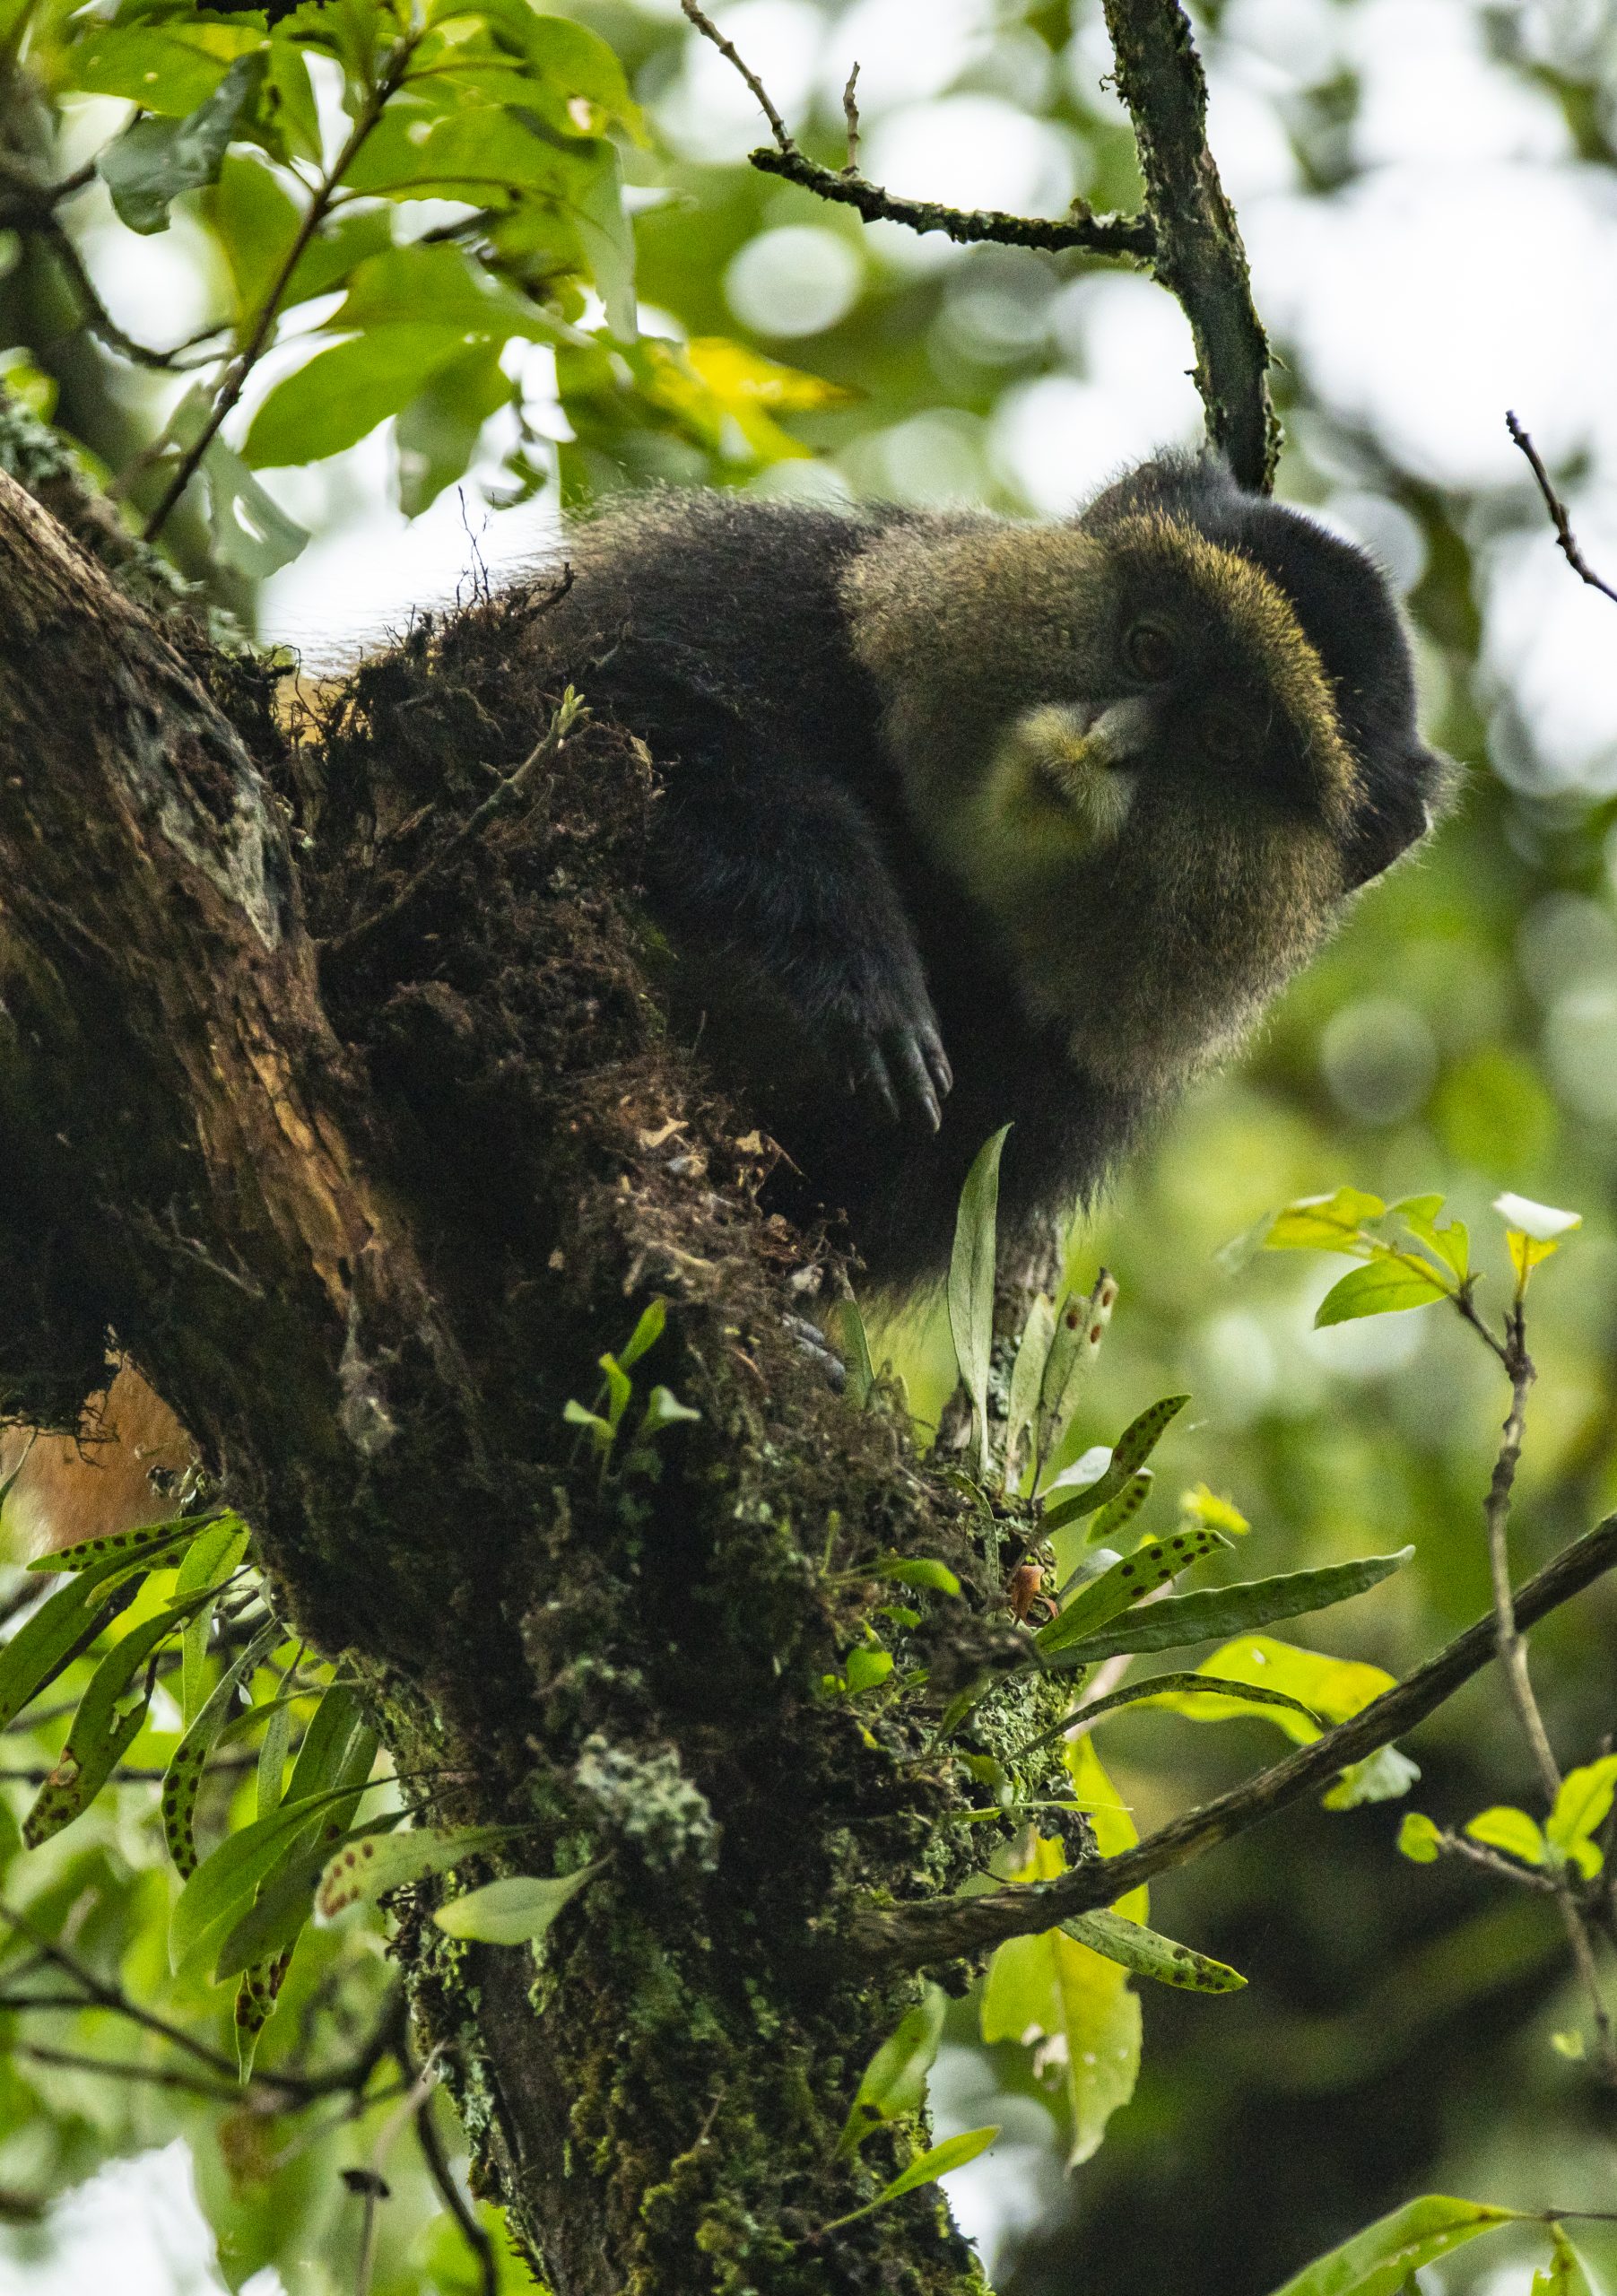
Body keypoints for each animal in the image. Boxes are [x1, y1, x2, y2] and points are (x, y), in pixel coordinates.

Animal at [534, 448, 1453, 1290]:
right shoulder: (773, 581)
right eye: (1150, 649)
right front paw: (859, 959)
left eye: (1224, 738)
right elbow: (590, 679)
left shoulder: (1051, 1092)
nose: (1106, 742)